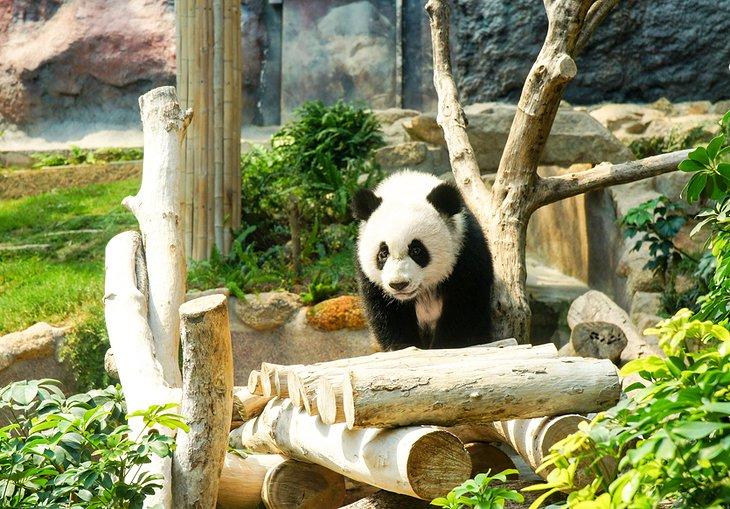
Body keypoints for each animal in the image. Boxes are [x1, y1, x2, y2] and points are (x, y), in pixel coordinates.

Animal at [351, 170, 494, 350]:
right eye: (383, 253)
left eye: (417, 250)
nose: (399, 284)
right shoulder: (372, 282)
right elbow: (387, 312)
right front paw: (402, 345)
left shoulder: (466, 255)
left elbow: (465, 307)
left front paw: (447, 344)